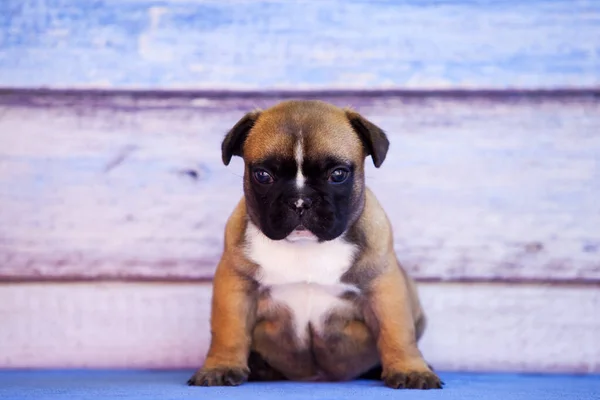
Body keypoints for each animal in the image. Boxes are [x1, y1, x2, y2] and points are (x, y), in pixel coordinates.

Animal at [188, 98, 440, 390]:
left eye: (338, 174)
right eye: (262, 175)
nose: (300, 201)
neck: (306, 247)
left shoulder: (384, 288)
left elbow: (397, 331)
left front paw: (410, 370)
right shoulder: (236, 286)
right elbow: (228, 330)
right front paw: (220, 367)